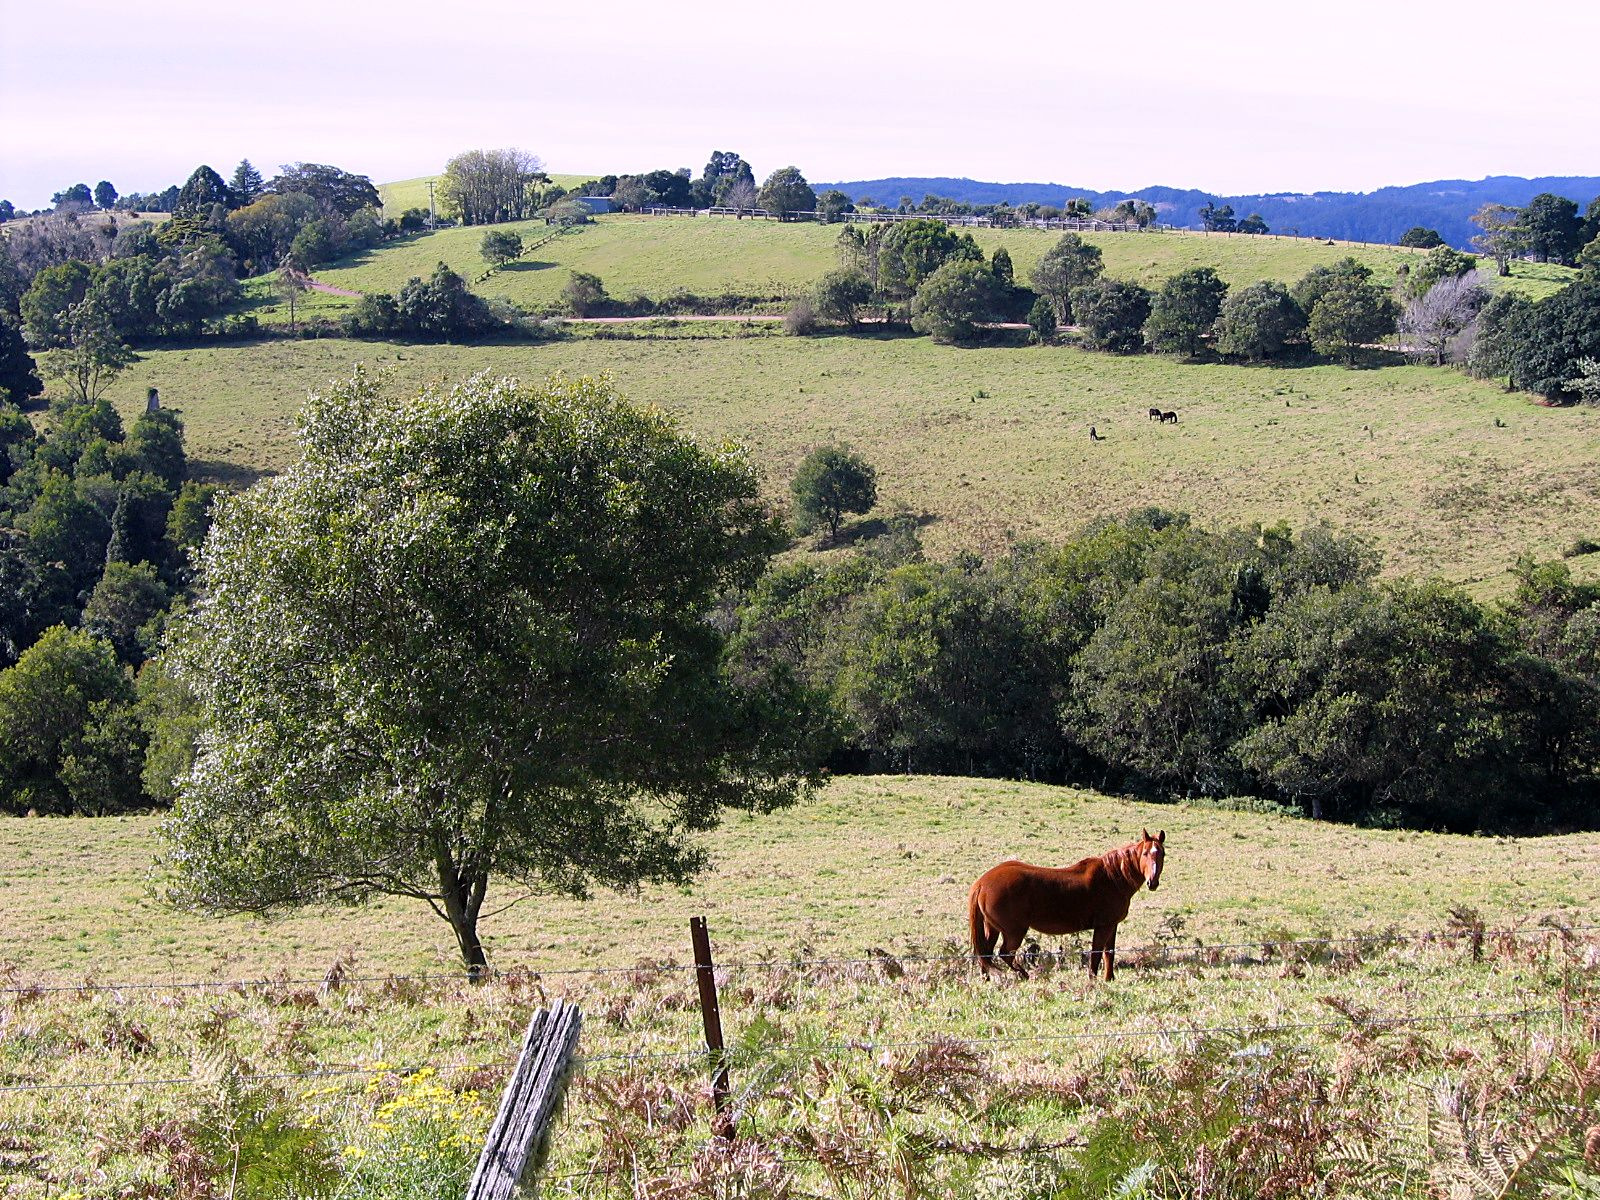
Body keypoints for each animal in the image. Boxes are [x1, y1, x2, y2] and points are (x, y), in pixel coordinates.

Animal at [966, 832, 1171, 979]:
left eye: (1162, 853)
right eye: (1145, 853)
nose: (1152, 882)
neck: (1112, 877)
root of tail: (982, 883)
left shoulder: (1112, 926)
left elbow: (1109, 953)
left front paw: (1109, 978)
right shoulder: (1103, 926)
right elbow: (1096, 953)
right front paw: (1093, 979)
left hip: (993, 928)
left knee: (986, 954)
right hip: (1014, 931)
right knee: (1005, 954)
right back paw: (1023, 975)